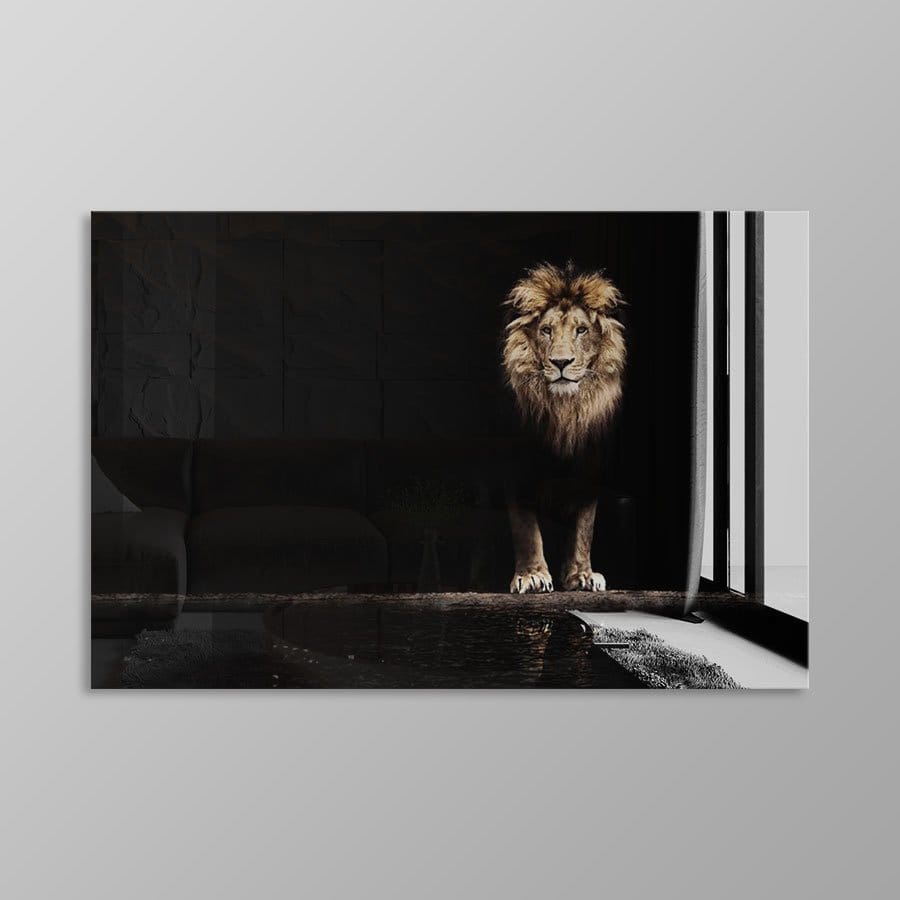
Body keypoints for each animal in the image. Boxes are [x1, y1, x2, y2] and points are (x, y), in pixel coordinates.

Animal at [502, 261, 626, 594]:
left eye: (581, 330)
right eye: (546, 330)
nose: (560, 362)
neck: (564, 411)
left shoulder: (590, 471)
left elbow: (584, 528)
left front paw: (582, 575)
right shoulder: (517, 469)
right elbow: (525, 527)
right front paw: (532, 576)